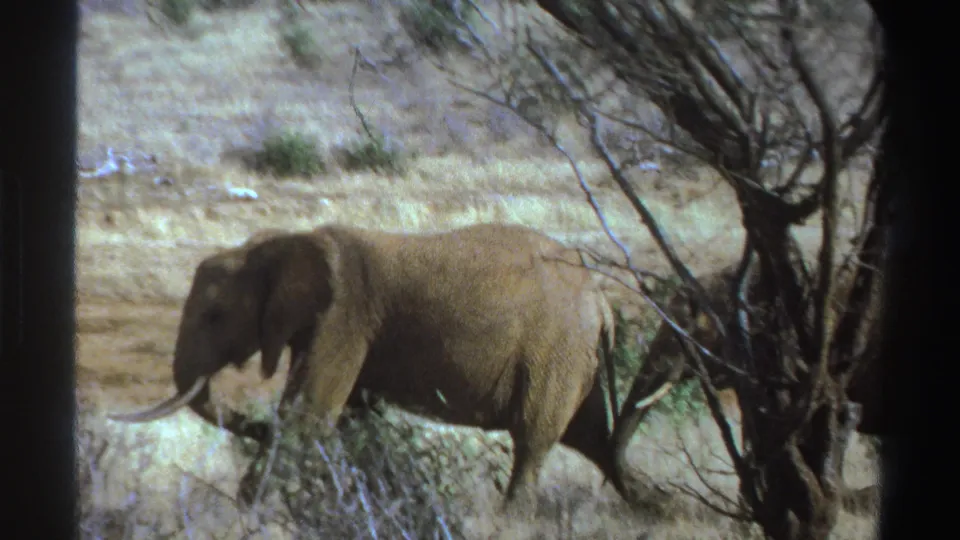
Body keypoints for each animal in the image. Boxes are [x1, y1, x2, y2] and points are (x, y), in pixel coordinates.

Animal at [107, 223, 650, 513]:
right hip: (575, 356)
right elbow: (350, 418)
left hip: (555, 349)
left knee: (535, 442)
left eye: (215, 315)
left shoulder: (346, 316)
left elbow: (308, 417)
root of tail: (600, 299)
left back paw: (511, 521)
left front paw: (250, 513)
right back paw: (654, 506)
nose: (255, 426)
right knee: (593, 439)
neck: (286, 243)